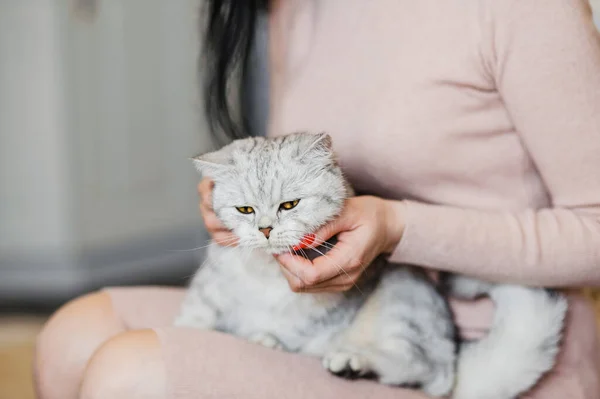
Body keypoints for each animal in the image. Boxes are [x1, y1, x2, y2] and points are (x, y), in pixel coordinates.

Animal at [175, 132, 568, 399]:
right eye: (245, 210)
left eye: (289, 205)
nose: (266, 229)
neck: (266, 275)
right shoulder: (207, 295)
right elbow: (194, 318)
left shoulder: (322, 311)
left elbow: (287, 330)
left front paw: (265, 338)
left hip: (401, 300)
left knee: (427, 371)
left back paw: (352, 362)